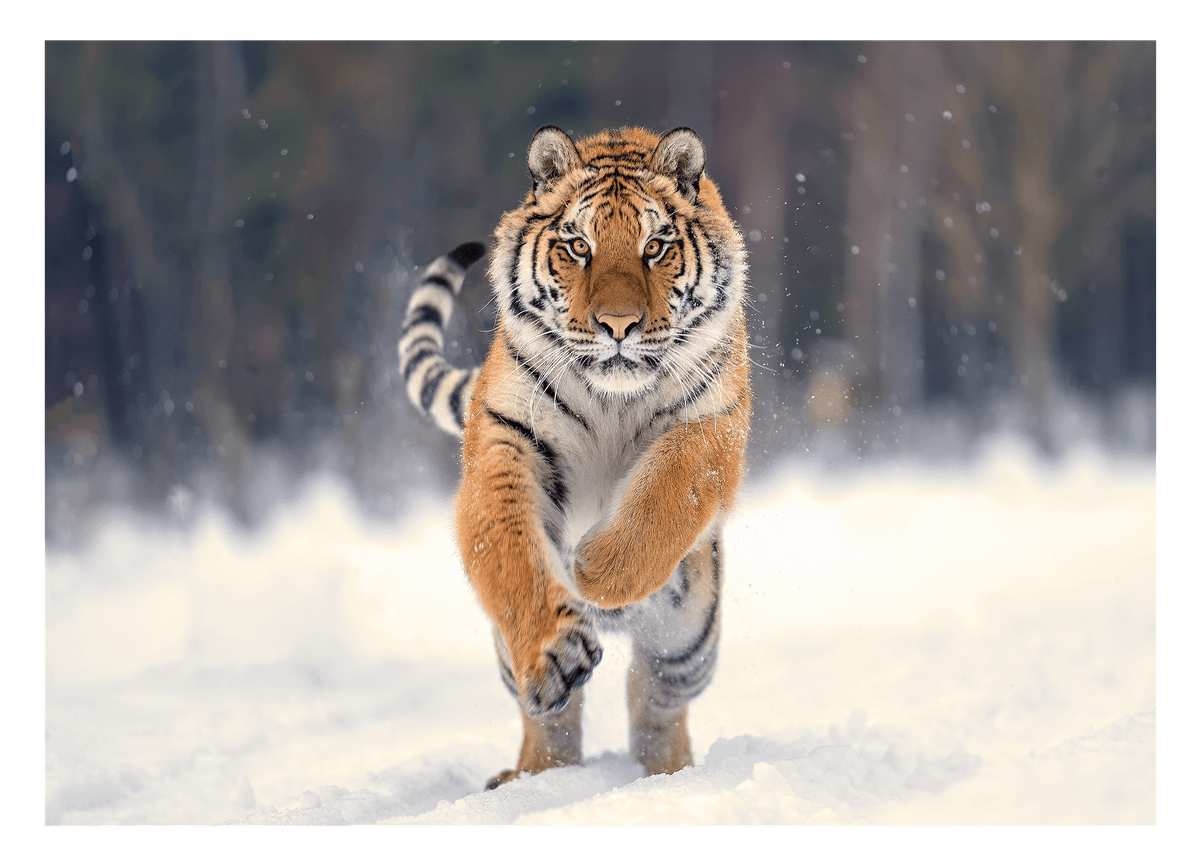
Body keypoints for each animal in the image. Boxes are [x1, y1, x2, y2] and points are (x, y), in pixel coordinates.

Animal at [399, 125, 751, 790]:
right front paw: (556, 646)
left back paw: (668, 776)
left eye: (655, 247)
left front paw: (595, 570)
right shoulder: (506, 441)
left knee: (654, 697)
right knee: (553, 718)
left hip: (690, 641)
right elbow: (510, 552)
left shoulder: (710, 425)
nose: (618, 325)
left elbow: (665, 498)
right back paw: (532, 777)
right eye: (578, 246)